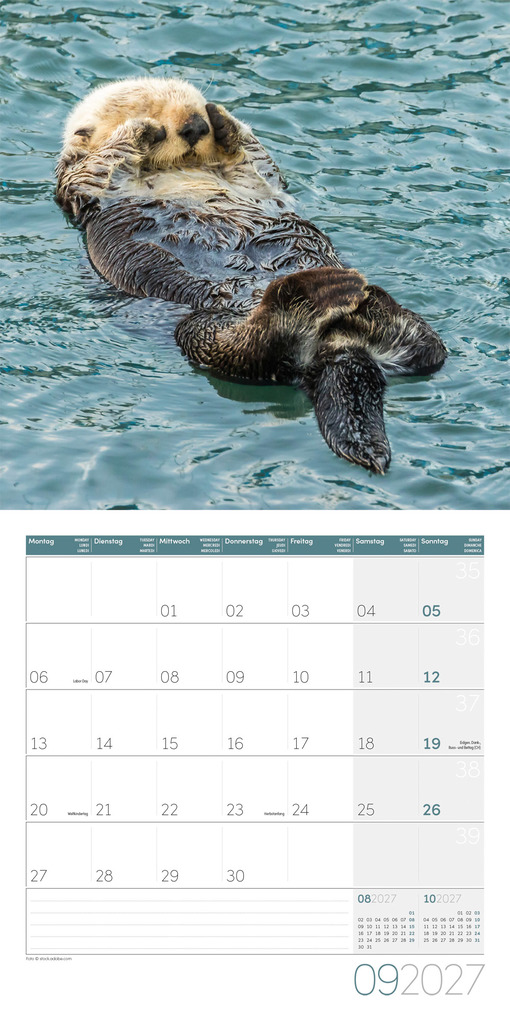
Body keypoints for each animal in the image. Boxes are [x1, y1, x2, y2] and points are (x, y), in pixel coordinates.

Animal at [56, 77, 446, 473]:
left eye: (194, 105)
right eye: (149, 108)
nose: (196, 125)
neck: (174, 169)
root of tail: (337, 347)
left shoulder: (252, 172)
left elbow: (256, 155)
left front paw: (221, 116)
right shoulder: (80, 184)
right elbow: (101, 161)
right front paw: (141, 130)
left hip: (403, 337)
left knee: (427, 348)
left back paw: (368, 299)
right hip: (203, 327)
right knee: (251, 349)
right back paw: (312, 293)